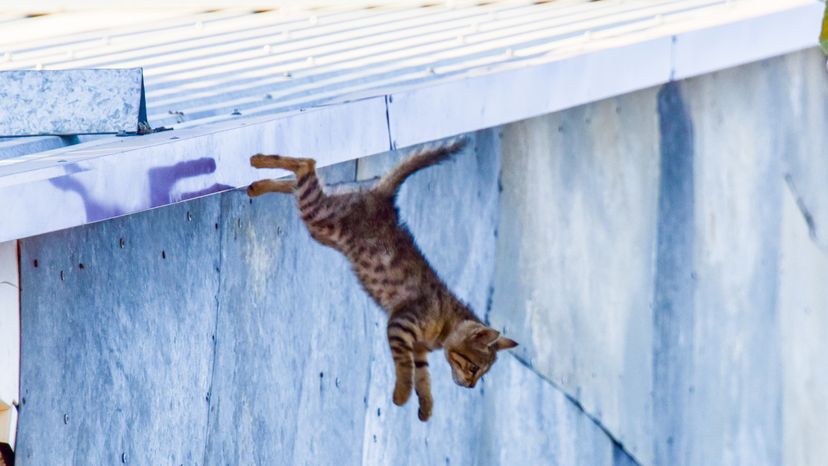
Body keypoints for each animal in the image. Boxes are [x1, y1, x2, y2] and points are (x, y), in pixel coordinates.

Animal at [247, 140, 516, 420]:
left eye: (481, 373)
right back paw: (259, 162)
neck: (444, 324)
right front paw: (402, 394)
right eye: (474, 368)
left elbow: (423, 376)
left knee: (301, 183)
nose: (472, 386)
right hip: (320, 218)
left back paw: (257, 185)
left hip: (325, 216)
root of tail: (383, 198)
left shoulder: (419, 348)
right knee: (307, 165)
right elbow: (405, 365)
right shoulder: (402, 324)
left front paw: (426, 406)